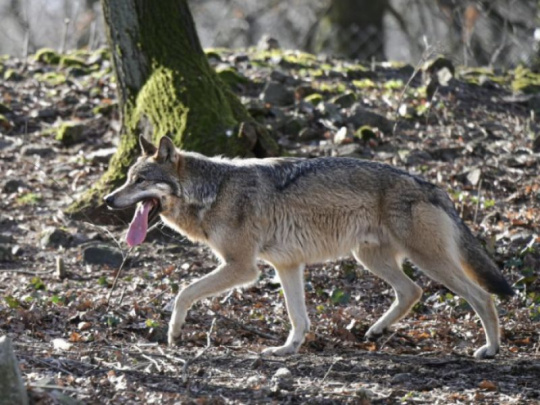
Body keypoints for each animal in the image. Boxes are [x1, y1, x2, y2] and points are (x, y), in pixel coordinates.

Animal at [103, 135, 512, 356]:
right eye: (127, 178)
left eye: (140, 180)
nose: (107, 199)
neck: (213, 191)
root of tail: (434, 187)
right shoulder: (287, 266)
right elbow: (298, 317)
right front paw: (288, 349)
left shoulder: (242, 267)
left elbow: (183, 293)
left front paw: (173, 333)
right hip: (370, 258)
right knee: (412, 291)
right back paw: (375, 331)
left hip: (427, 260)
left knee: (482, 297)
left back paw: (491, 349)